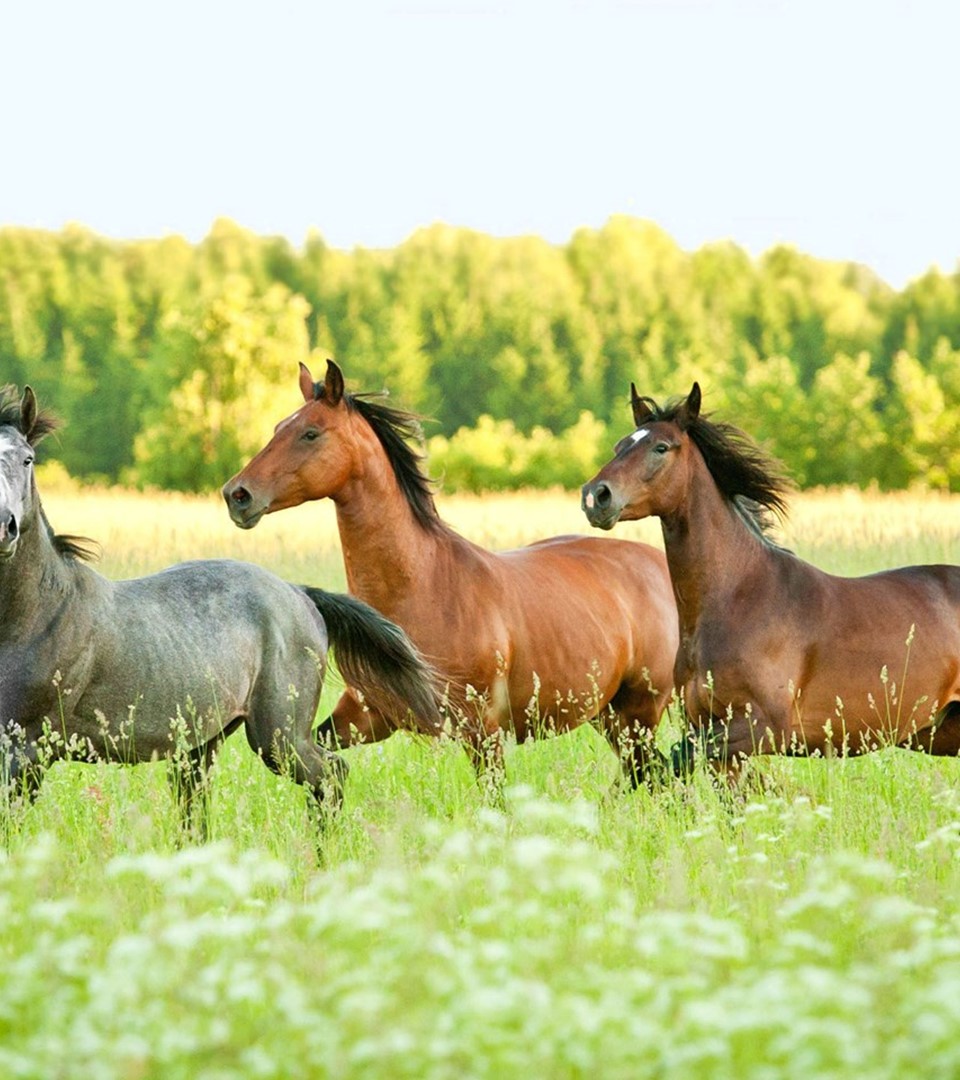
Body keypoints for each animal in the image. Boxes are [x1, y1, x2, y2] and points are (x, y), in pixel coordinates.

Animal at [0, 384, 441, 834]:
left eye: (28, 458)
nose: (5, 526)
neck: (36, 616)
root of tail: (299, 593)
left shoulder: (28, 749)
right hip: (202, 744)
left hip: (279, 737)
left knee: (332, 775)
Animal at [221, 360, 679, 788]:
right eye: (279, 427)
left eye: (310, 433)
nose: (237, 495)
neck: (425, 587)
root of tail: (659, 565)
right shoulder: (366, 716)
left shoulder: (482, 730)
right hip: (610, 716)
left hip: (639, 712)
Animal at [581, 380, 960, 771]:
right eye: (620, 445)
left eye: (661, 447)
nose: (596, 496)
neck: (740, 598)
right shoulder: (713, 732)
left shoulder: (764, 727)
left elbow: (682, 757)